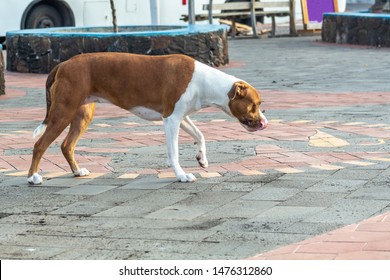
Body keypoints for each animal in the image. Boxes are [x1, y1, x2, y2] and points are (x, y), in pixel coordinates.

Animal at [25, 52, 266, 185]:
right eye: (256, 105)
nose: (264, 122)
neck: (204, 82)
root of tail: (63, 64)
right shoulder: (171, 120)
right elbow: (173, 153)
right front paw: (181, 175)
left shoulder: (180, 117)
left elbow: (201, 135)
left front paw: (202, 158)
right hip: (63, 112)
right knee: (39, 145)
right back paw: (32, 177)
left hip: (82, 114)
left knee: (67, 145)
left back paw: (77, 171)